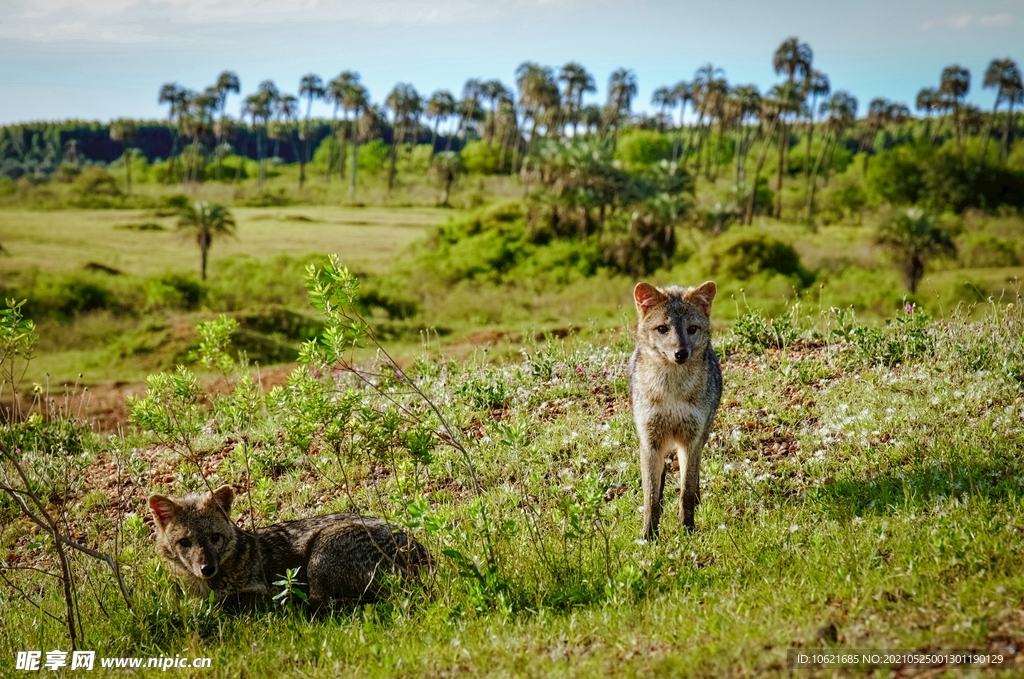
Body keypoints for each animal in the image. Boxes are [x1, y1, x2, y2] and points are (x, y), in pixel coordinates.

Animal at [148, 485, 428, 606]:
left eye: (214, 538)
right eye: (185, 542)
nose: (207, 568)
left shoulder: (265, 590)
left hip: (320, 551)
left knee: (319, 601)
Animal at [626, 278, 724, 540]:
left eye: (692, 329)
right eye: (663, 329)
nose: (681, 353)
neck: (672, 392)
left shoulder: (691, 441)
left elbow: (686, 491)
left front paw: (687, 529)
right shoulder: (649, 441)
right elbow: (650, 496)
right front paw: (649, 535)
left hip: (700, 436)